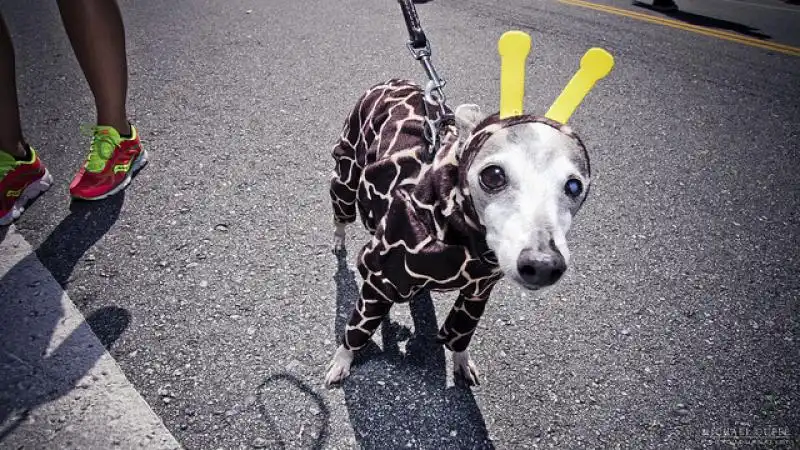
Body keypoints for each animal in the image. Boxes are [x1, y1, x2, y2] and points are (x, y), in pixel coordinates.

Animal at [324, 78, 588, 386]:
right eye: (493, 175)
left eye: (574, 186)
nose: (543, 264)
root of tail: (393, 82)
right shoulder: (379, 279)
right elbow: (357, 328)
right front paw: (343, 359)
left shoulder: (477, 293)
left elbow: (461, 332)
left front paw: (461, 360)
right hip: (346, 173)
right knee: (342, 213)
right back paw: (339, 239)